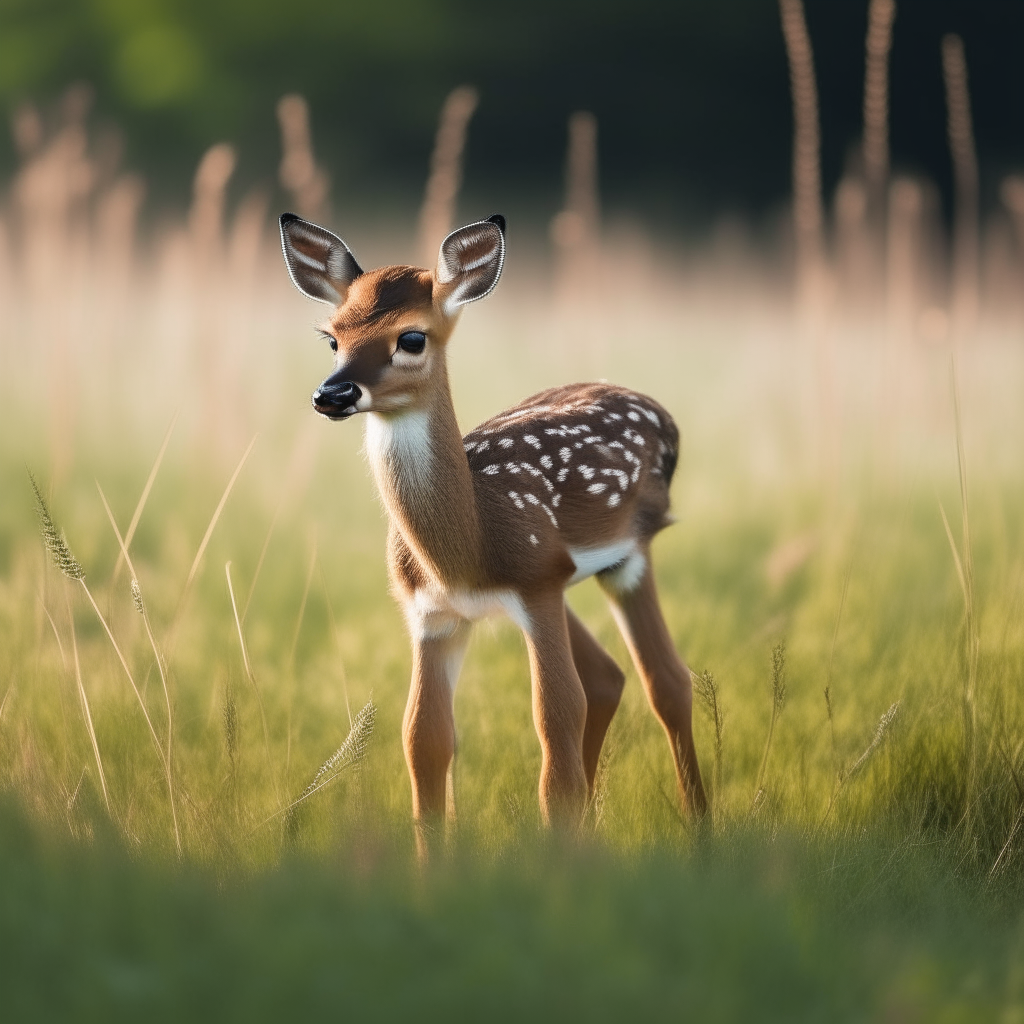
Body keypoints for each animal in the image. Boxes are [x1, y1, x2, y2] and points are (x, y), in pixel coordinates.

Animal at [282, 214, 712, 847]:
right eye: (332, 337)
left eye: (412, 338)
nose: (331, 394)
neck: (467, 547)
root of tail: (661, 413)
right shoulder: (432, 615)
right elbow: (424, 740)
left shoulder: (535, 583)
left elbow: (556, 724)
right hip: (565, 583)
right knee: (609, 678)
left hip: (622, 558)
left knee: (667, 682)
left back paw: (701, 830)